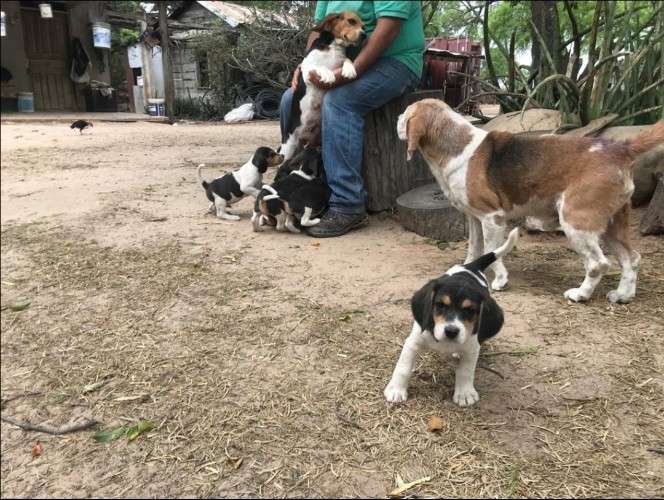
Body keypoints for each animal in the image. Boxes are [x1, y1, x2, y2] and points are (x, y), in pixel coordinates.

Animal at [280, 11, 365, 160]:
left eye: (363, 26)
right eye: (351, 21)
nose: (364, 35)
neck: (334, 46)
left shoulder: (341, 59)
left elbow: (347, 60)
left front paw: (350, 70)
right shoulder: (307, 70)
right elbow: (320, 66)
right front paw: (328, 75)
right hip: (288, 148)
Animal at [384, 228, 518, 407]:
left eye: (470, 310)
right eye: (440, 305)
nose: (451, 331)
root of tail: (471, 266)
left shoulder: (472, 348)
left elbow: (465, 371)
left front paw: (465, 393)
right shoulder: (413, 342)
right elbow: (403, 368)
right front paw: (396, 390)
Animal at [398, 99, 664, 303]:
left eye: (407, 113)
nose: (398, 118)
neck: (457, 146)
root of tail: (620, 148)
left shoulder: (492, 218)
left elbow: (492, 250)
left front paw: (500, 280)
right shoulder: (474, 218)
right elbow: (474, 248)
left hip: (576, 222)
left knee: (598, 264)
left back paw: (581, 294)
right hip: (610, 225)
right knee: (632, 259)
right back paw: (623, 295)